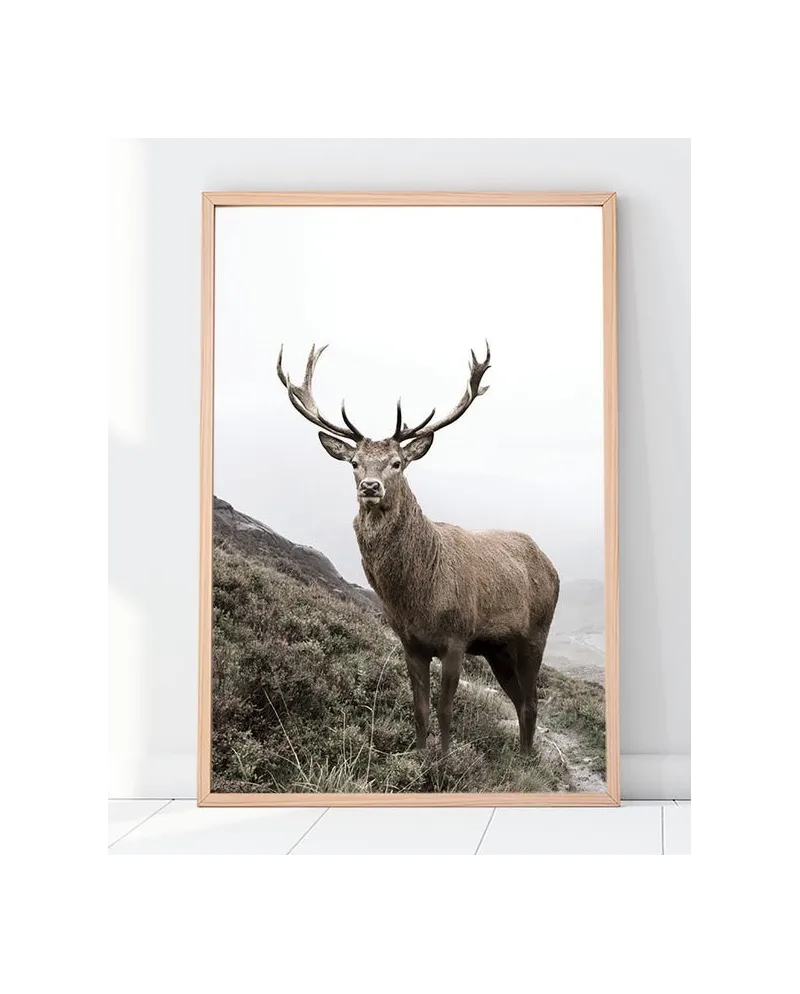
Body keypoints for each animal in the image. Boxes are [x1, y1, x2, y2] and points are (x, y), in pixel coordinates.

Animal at [276, 343, 560, 755]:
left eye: (397, 462)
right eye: (355, 463)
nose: (371, 486)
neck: (418, 598)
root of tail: (552, 566)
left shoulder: (457, 637)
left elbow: (445, 709)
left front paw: (444, 759)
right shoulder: (410, 643)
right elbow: (420, 708)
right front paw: (422, 754)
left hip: (535, 634)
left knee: (532, 700)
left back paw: (525, 759)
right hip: (497, 649)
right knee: (520, 699)